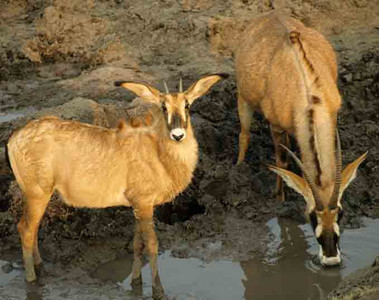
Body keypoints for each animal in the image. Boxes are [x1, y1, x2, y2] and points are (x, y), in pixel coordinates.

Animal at [6, 72, 229, 298]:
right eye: (163, 106)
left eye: (187, 105)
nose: (178, 135)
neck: (158, 150)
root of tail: (15, 136)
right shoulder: (144, 204)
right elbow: (152, 244)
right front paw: (158, 291)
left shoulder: (138, 206)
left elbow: (138, 244)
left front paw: (136, 283)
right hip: (37, 193)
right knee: (25, 229)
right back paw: (32, 280)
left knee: (33, 228)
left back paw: (40, 268)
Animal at [236, 12, 370, 264]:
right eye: (311, 214)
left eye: (340, 212)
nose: (331, 257)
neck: (308, 95)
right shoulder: (276, 127)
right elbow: (282, 163)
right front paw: (281, 199)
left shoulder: (331, 118)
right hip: (244, 100)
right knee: (244, 135)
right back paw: (237, 170)